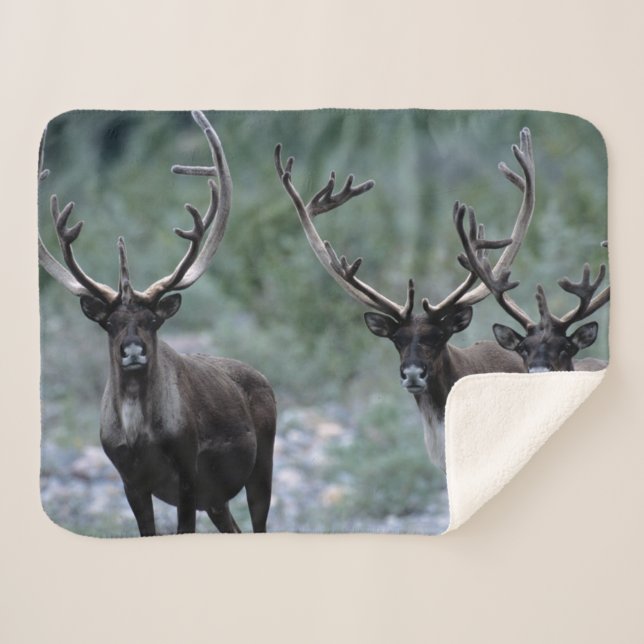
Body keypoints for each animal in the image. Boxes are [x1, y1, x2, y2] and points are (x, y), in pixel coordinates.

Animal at [39, 111, 277, 536]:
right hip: (216, 498)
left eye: (152, 320)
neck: (139, 435)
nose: (132, 350)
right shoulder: (129, 481)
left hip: (259, 469)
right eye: (110, 323)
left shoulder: (187, 470)